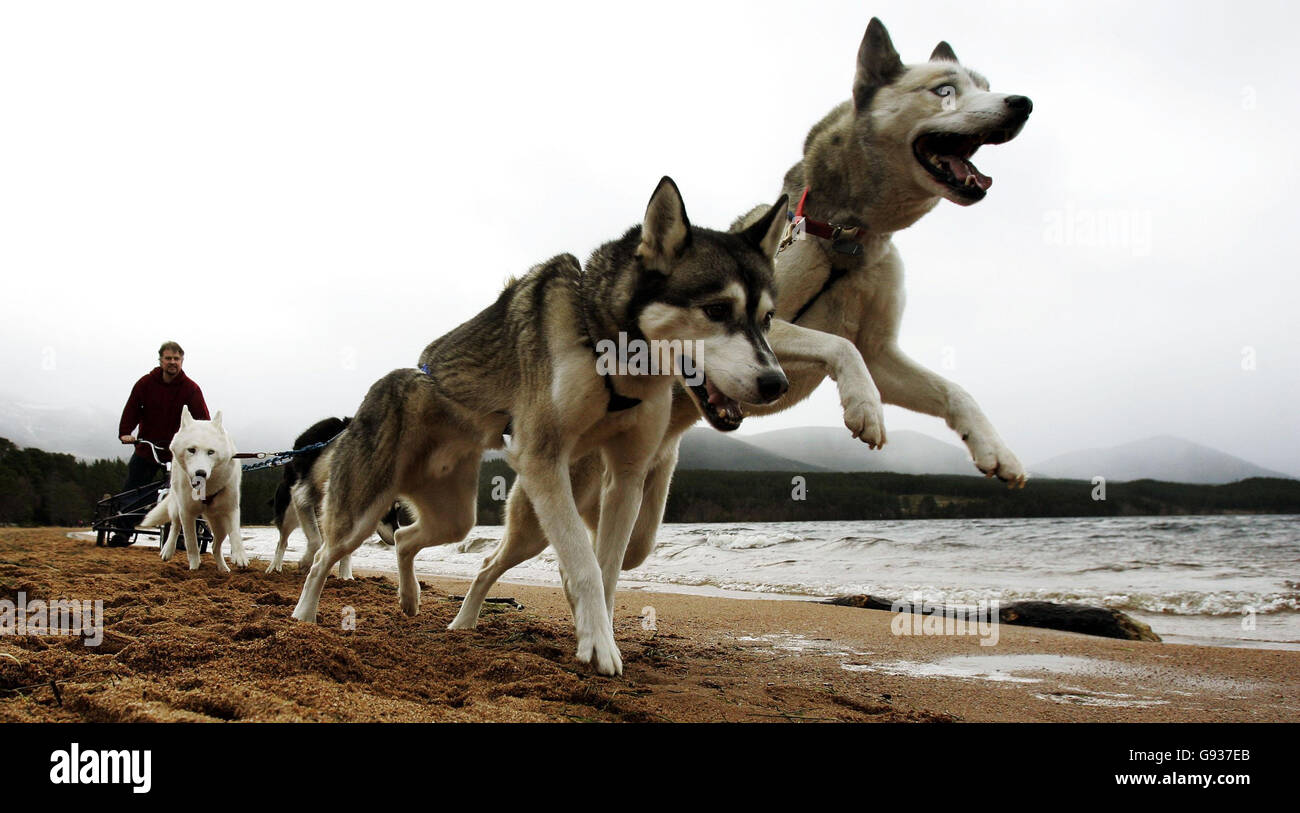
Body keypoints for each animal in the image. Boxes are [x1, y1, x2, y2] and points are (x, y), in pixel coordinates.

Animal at [141, 403, 246, 569]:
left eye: (211, 452)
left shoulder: (231, 508)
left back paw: (223, 569)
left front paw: (240, 556)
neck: (207, 489)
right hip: (177, 509)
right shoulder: (187, 513)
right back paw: (168, 549)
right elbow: (191, 543)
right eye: (191, 450)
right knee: (175, 526)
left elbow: (236, 533)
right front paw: (194, 568)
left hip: (220, 526)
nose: (200, 473)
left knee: (215, 545)